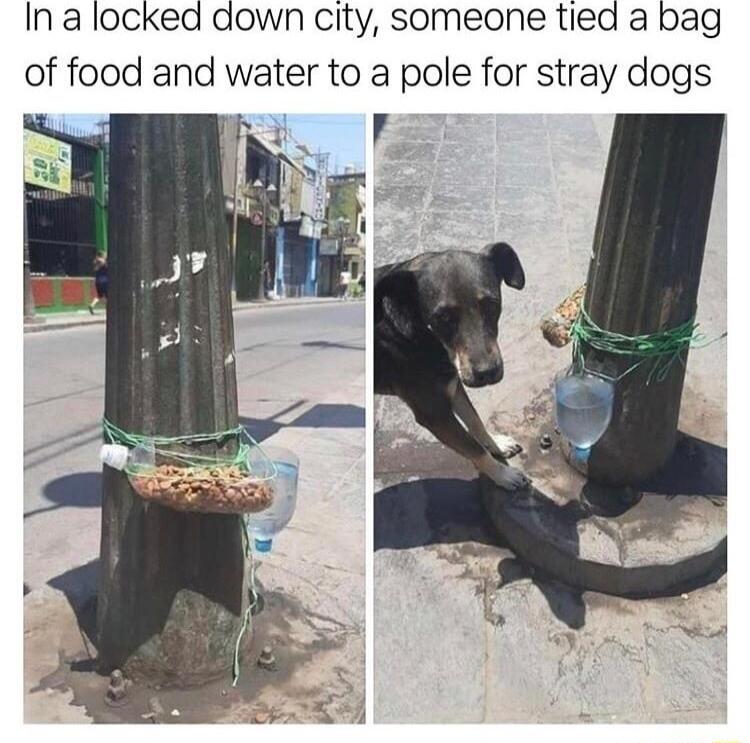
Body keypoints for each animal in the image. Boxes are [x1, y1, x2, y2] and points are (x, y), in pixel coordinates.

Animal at [374, 241, 528, 492]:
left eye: (491, 305)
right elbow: (475, 449)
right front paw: (503, 475)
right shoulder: (435, 415)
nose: (487, 373)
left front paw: (496, 444)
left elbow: (475, 421)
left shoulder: (453, 384)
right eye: (443, 318)